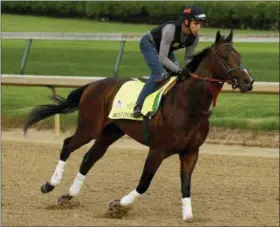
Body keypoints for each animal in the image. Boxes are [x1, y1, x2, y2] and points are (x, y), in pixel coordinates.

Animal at [23, 30, 254, 220]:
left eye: (240, 56)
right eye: (225, 57)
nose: (248, 82)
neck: (188, 104)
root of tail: (93, 84)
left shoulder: (190, 152)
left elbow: (186, 187)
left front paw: (187, 214)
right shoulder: (158, 149)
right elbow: (144, 183)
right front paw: (117, 205)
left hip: (111, 132)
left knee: (90, 157)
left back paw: (69, 195)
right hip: (90, 127)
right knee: (68, 145)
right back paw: (50, 184)